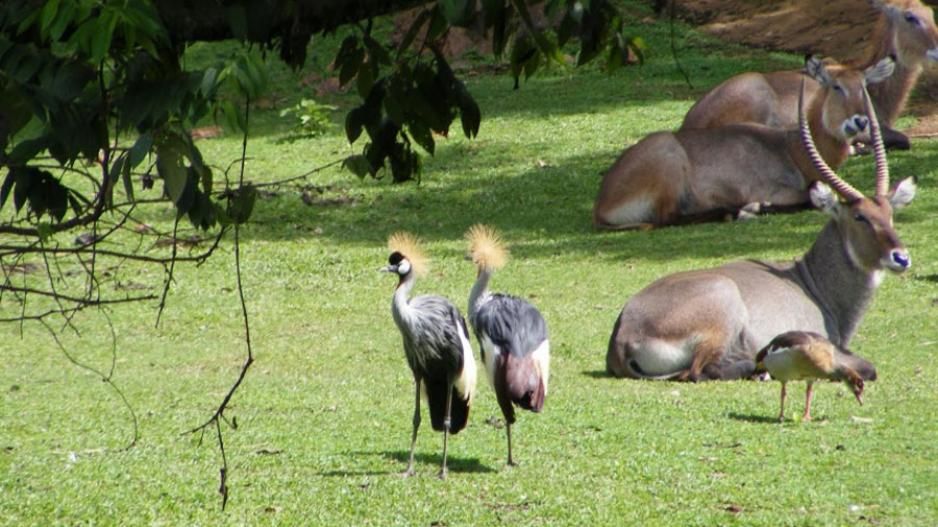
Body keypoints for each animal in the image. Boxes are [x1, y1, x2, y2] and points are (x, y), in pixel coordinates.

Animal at [592, 54, 892, 230]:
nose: (860, 122)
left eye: (863, 87)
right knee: (669, 218)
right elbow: (806, 198)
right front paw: (756, 207)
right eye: (836, 86)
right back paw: (735, 211)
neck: (792, 149)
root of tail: (601, 205)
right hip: (668, 157)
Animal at [600, 78, 916, 382]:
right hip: (722, 305)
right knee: (700, 371)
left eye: (890, 215)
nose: (900, 257)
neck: (811, 280)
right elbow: (866, 366)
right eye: (859, 217)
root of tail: (622, 337)